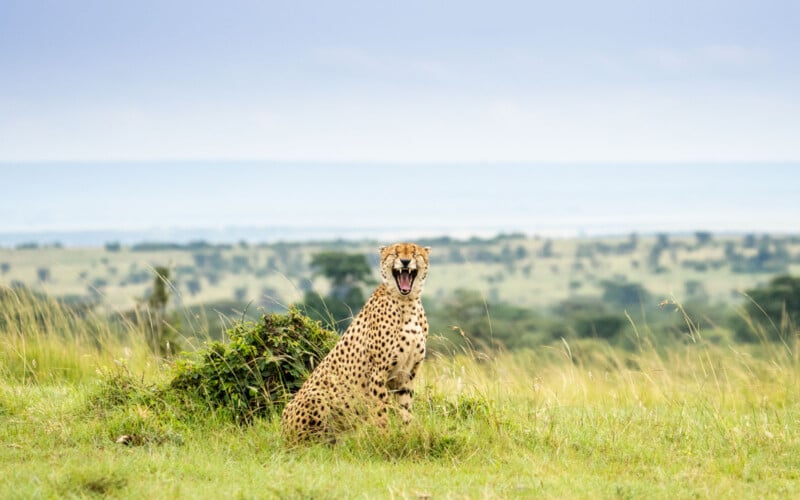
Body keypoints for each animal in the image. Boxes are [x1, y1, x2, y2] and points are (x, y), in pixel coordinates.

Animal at [282, 242, 432, 442]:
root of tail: (282, 429)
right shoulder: (378, 373)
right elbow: (381, 412)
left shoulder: (406, 374)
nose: (405, 261)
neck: (407, 302)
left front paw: (406, 436)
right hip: (316, 397)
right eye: (395, 253)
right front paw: (385, 439)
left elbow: (406, 410)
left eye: (414, 253)